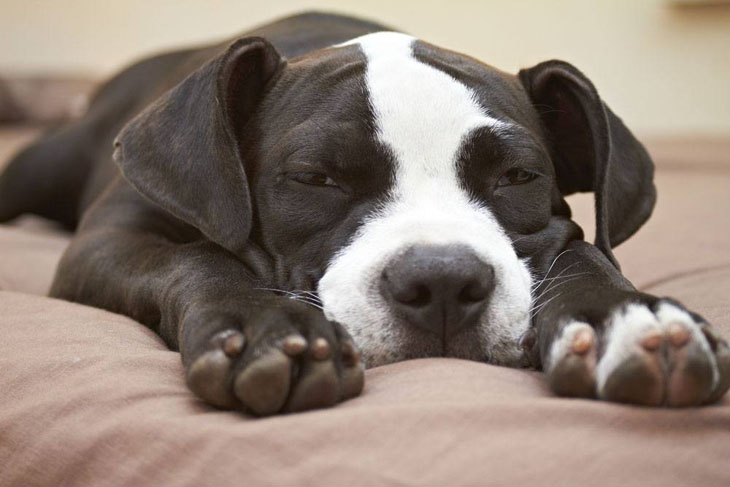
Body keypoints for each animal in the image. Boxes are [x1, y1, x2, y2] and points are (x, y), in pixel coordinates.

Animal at [1, 11, 728, 416]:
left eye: (518, 177)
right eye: (314, 178)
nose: (442, 281)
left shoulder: (561, 233)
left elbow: (584, 250)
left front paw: (624, 317)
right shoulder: (110, 237)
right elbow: (200, 257)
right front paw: (264, 325)